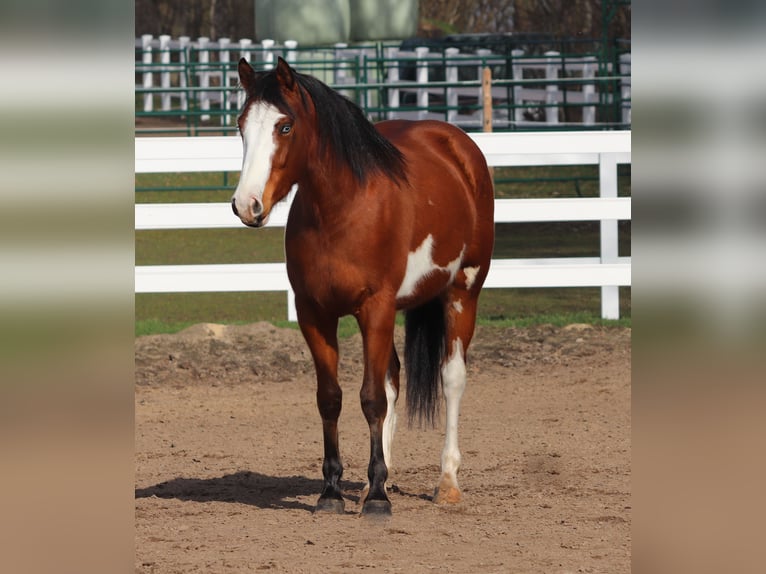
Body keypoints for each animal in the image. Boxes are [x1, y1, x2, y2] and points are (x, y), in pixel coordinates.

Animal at [231, 57, 495, 516]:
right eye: (242, 125)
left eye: (285, 126)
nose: (247, 205)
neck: (342, 211)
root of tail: (457, 145)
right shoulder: (314, 314)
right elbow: (332, 397)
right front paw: (333, 491)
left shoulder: (376, 308)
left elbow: (371, 398)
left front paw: (376, 500)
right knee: (392, 379)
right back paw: (383, 474)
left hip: (463, 292)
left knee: (451, 378)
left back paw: (446, 482)